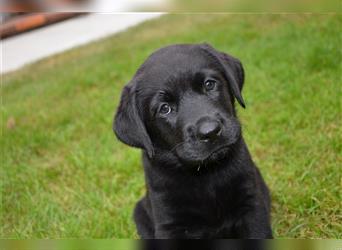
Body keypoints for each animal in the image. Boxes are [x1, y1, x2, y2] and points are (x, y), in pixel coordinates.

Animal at [114, 44, 272, 239]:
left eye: (209, 84)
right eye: (165, 108)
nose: (210, 132)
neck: (206, 173)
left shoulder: (251, 204)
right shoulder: (170, 222)